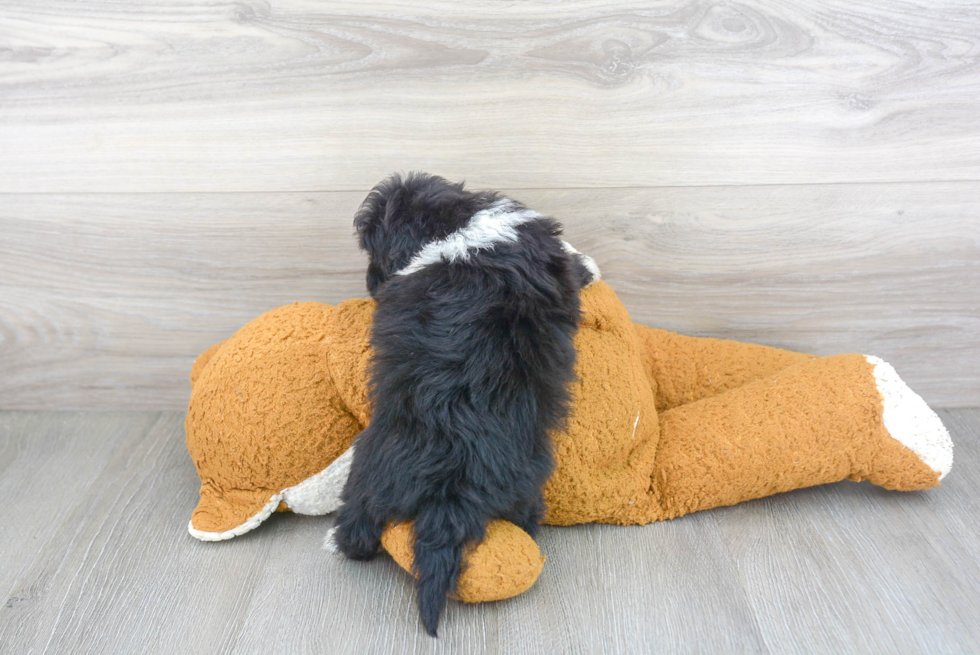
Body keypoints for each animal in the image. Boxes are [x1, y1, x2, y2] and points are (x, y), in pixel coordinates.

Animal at [334, 173, 596, 636]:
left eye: (372, 251)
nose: (371, 282)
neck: (455, 225)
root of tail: (450, 486)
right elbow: (573, 266)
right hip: (523, 483)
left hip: (368, 469)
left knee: (359, 522)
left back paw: (343, 544)